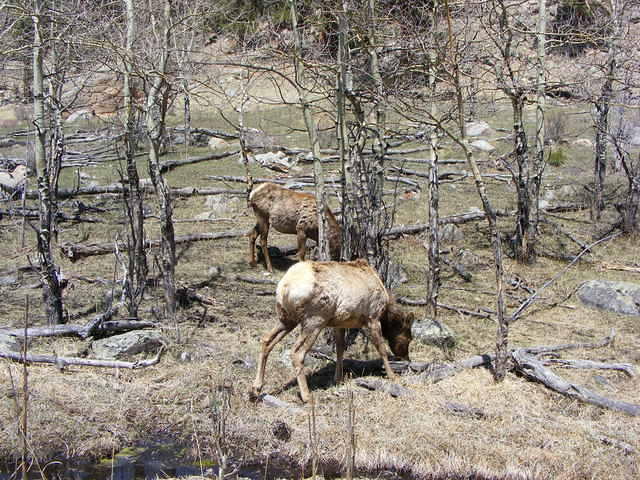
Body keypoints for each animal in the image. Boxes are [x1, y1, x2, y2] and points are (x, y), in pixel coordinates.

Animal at [251, 260, 416, 404]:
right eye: (409, 338)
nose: (407, 359)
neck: (385, 311)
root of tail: (284, 287)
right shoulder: (372, 317)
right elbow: (381, 349)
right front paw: (392, 376)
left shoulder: (339, 323)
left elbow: (340, 349)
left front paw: (338, 379)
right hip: (315, 319)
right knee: (297, 352)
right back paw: (306, 396)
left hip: (287, 319)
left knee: (266, 340)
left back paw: (255, 389)